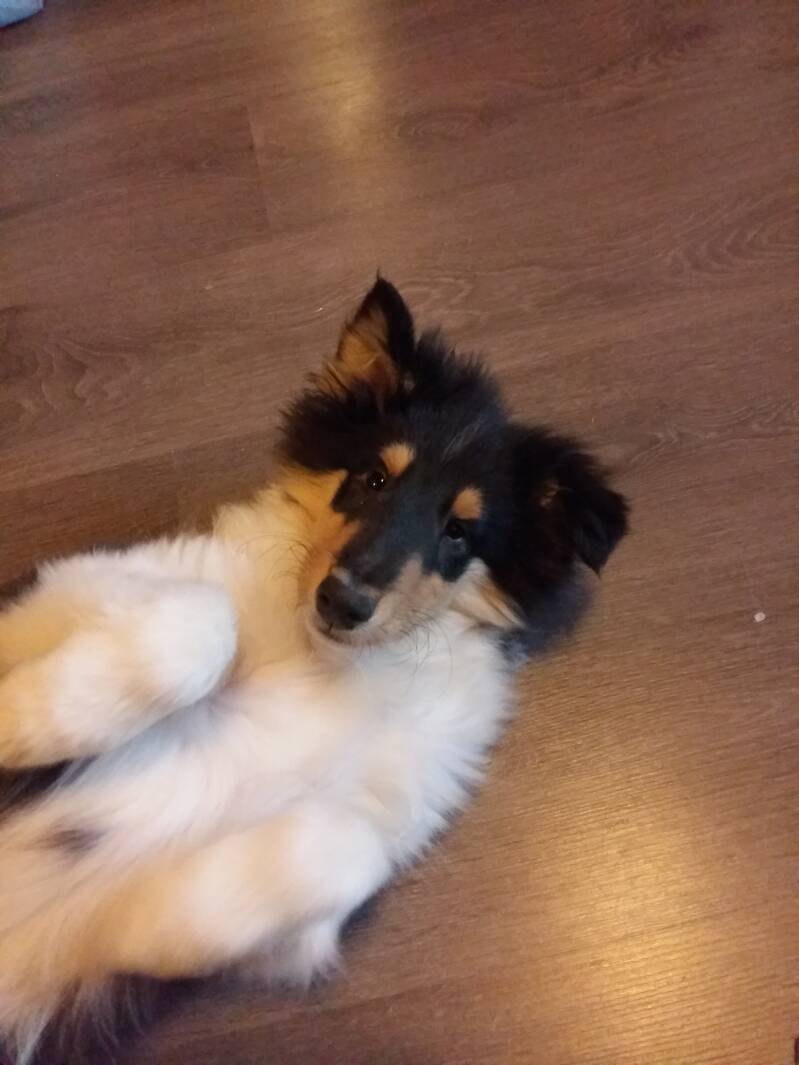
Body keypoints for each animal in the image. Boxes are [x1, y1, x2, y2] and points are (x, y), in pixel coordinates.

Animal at [0, 279, 628, 1062]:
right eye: (372, 476)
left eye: (459, 532)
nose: (342, 600)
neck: (327, 661)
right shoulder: (60, 585)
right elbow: (202, 618)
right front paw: (18, 723)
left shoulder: (342, 870)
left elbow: (344, 845)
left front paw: (132, 926)